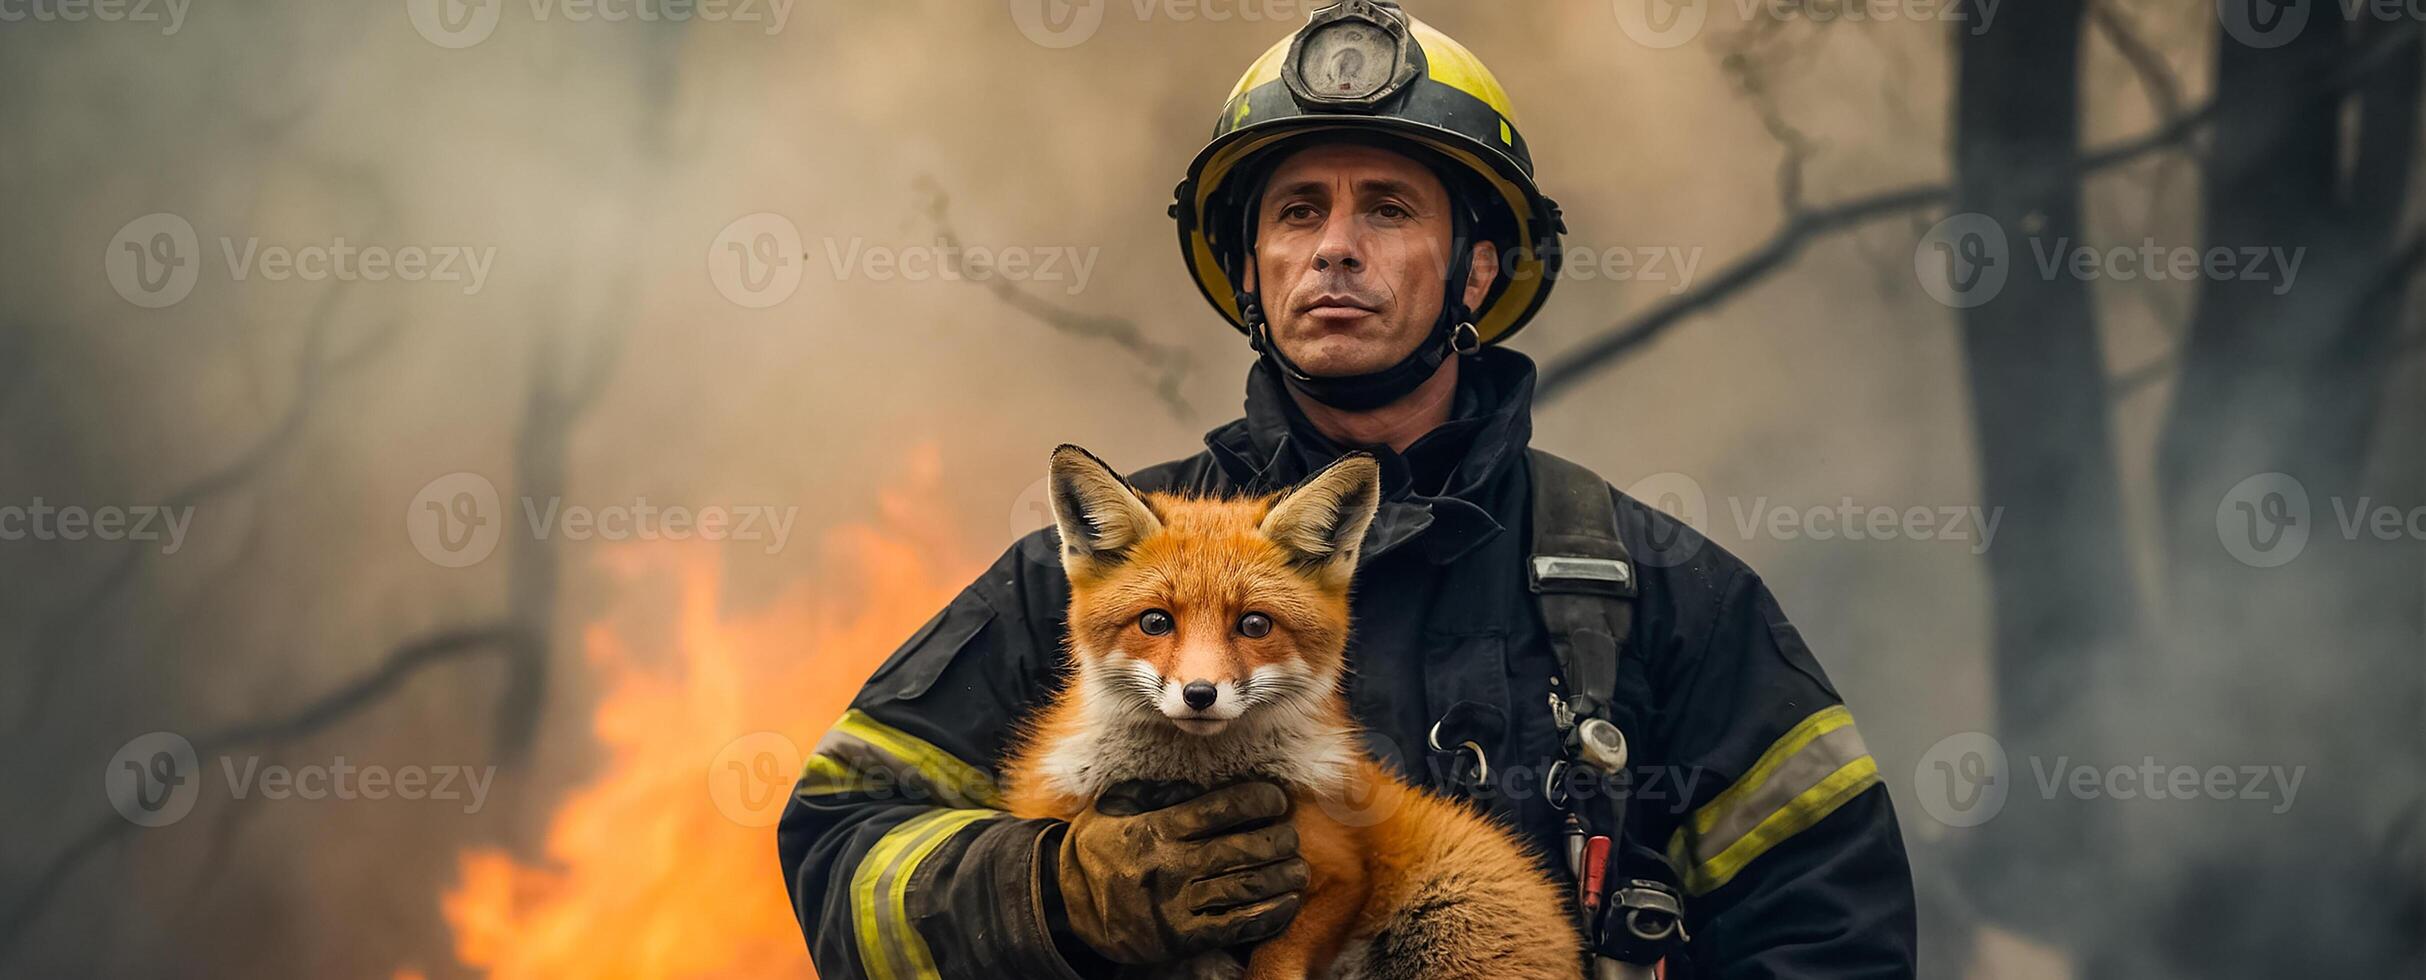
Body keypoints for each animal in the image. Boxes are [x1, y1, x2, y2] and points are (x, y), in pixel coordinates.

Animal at [999, 446, 1581, 980]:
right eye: (1155, 622)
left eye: (1255, 625)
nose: (1199, 694)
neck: (1198, 777)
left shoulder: (1338, 871)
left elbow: (1278, 959)